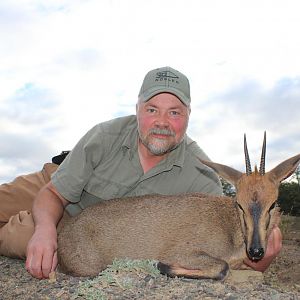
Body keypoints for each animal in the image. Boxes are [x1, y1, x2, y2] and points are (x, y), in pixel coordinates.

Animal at [56, 134, 300, 278]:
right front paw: (160, 265)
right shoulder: (184, 253)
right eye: (238, 203)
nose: (256, 251)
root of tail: (64, 234)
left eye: (273, 203)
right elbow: (222, 268)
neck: (230, 228)